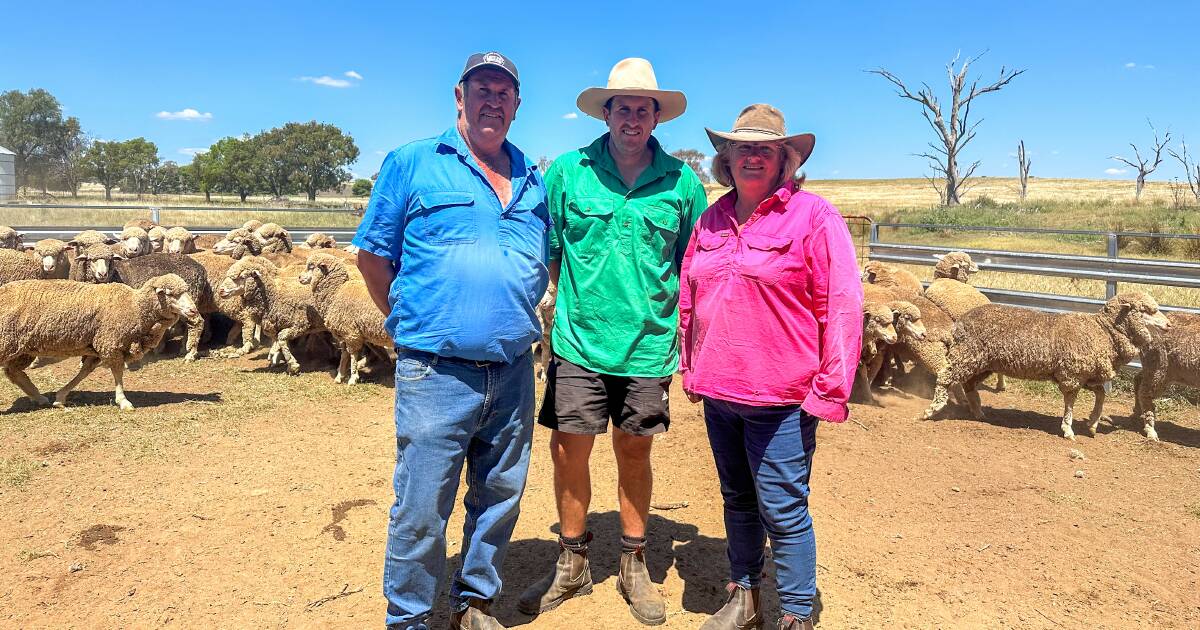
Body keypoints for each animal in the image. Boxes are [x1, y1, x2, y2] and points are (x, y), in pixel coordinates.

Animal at [0, 272, 196, 410]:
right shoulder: (111, 343)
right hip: (7, 343)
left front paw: (60, 397)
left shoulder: (97, 345)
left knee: (14, 373)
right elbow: (117, 373)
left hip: (23, 349)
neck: (134, 307)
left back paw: (39, 397)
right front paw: (123, 401)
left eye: (187, 291)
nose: (193, 310)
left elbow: (85, 371)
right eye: (170, 294)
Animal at [298, 252, 388, 384]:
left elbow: (353, 355)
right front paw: (340, 375)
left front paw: (353, 378)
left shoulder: (351, 333)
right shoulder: (344, 334)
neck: (336, 292)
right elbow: (344, 355)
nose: (299, 277)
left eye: (311, 266)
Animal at [916, 290, 1171, 436]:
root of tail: (958, 323)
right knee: (945, 376)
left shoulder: (1086, 375)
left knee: (968, 385)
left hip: (983, 363)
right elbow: (1070, 402)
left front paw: (1092, 424)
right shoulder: (1071, 374)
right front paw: (1068, 429)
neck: (1102, 330)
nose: (1169, 325)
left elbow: (1101, 395)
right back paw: (931, 410)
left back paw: (978, 412)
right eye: (1147, 310)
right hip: (967, 356)